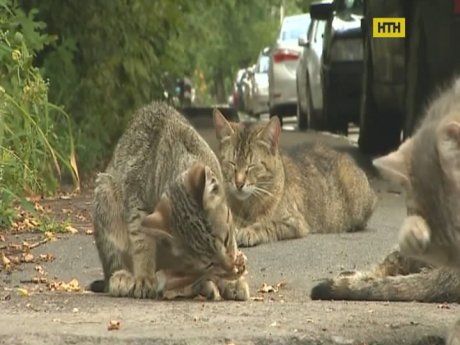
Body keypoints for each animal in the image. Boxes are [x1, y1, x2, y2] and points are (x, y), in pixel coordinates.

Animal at [88, 101, 250, 300]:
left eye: (226, 239)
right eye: (210, 262)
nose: (229, 268)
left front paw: (232, 278)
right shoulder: (136, 202)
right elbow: (142, 243)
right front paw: (144, 277)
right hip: (104, 190)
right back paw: (122, 278)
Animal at [212, 110, 378, 245]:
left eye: (252, 166)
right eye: (231, 163)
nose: (239, 183)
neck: (246, 205)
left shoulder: (294, 222)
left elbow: (268, 224)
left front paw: (249, 231)